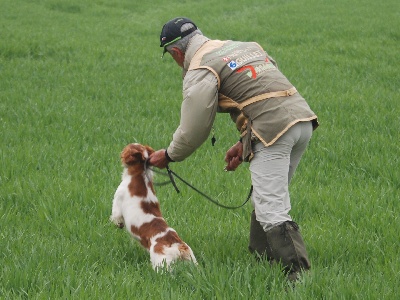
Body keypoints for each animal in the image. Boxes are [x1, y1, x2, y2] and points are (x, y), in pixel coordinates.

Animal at [109, 142, 197, 270]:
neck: (140, 174)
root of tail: (177, 245)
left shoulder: (118, 198)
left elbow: (116, 216)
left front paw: (119, 224)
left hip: (161, 262)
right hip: (191, 259)